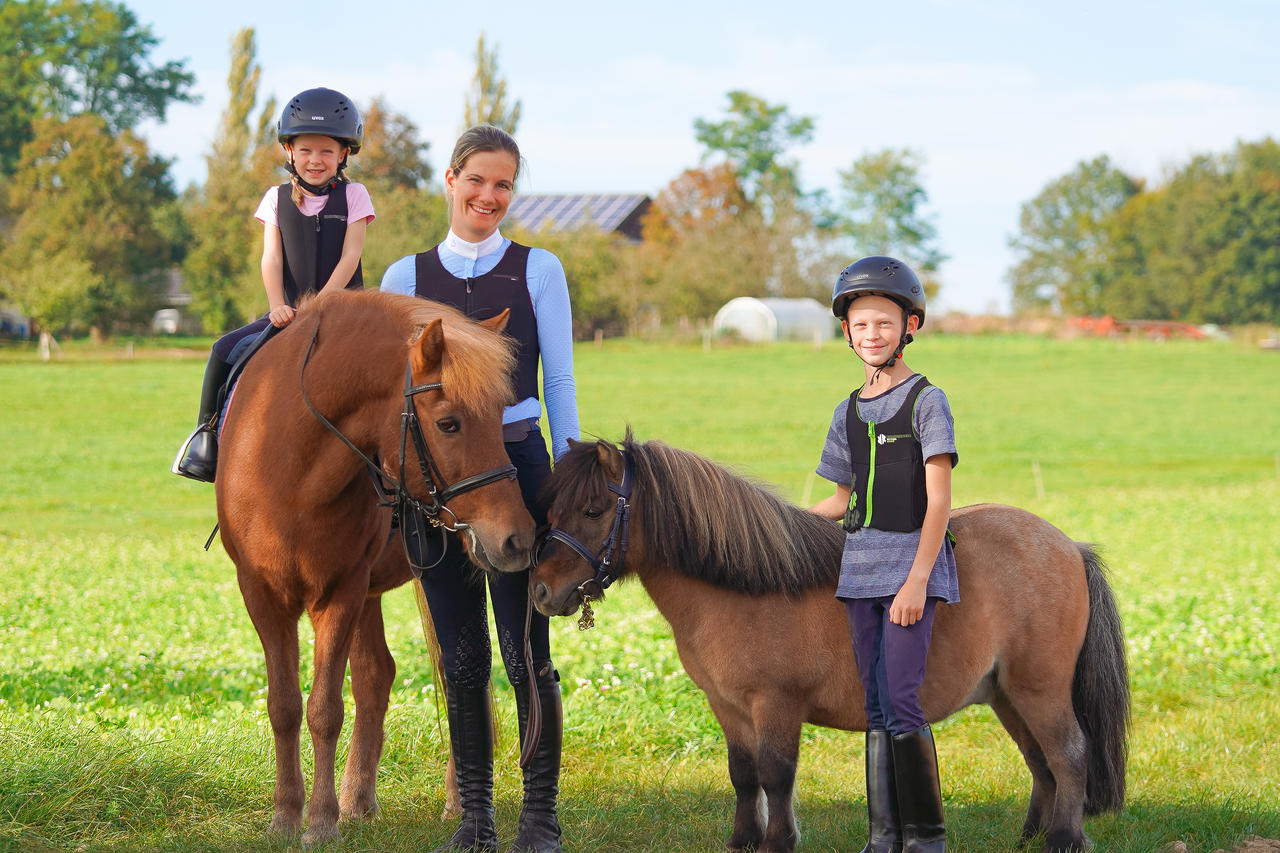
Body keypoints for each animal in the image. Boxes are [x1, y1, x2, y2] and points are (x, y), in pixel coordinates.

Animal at [215, 290, 535, 845]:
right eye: (448, 422)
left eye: (499, 415)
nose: (516, 538)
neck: (286, 461)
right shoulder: (261, 594)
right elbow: (284, 706)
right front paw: (286, 815)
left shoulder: (341, 591)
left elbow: (324, 710)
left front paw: (321, 821)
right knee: (376, 675)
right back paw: (358, 798)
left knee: (453, 673)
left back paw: (450, 800)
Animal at [524, 435, 1126, 850]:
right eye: (552, 508)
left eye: (594, 510)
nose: (541, 590)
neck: (744, 589)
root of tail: (1068, 546)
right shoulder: (727, 708)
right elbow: (743, 775)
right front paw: (743, 840)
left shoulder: (776, 706)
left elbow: (775, 775)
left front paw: (777, 841)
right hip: (1006, 695)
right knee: (1042, 763)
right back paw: (1029, 838)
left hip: (1039, 690)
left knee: (1069, 754)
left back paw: (1063, 840)